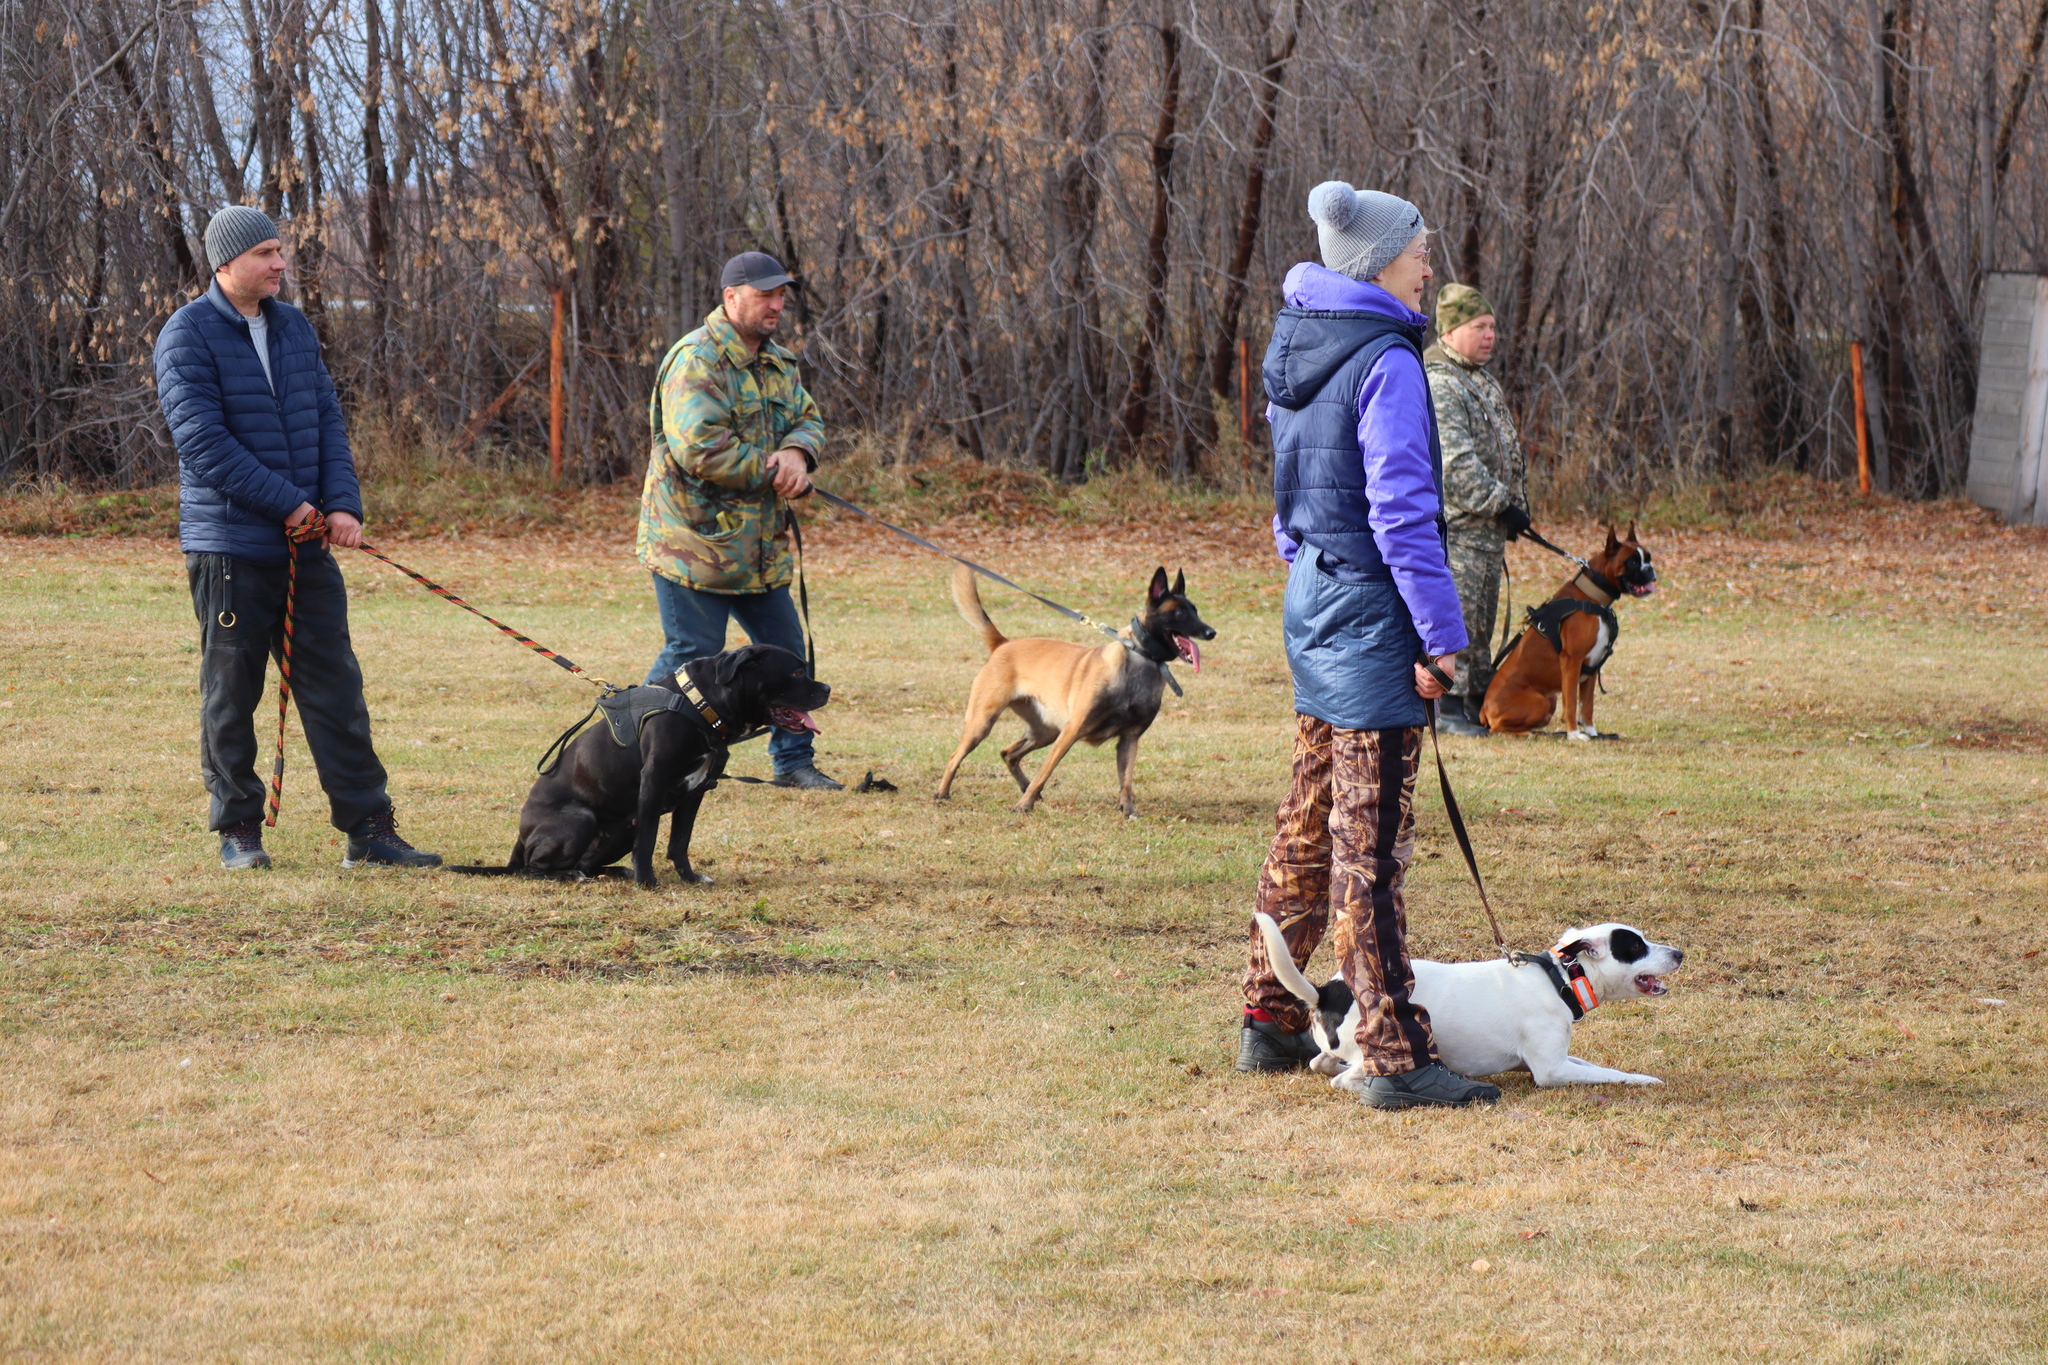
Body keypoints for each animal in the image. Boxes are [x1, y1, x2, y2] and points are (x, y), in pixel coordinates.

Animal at [507, 646, 827, 892]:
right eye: (797, 672)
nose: (827, 688)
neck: (699, 705)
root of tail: (520, 840)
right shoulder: (654, 782)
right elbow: (648, 841)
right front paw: (647, 882)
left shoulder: (696, 790)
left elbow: (679, 842)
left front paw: (691, 878)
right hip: (581, 817)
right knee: (531, 868)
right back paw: (569, 875)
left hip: (624, 827)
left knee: (587, 862)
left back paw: (613, 872)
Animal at [1253, 912, 1687, 1096]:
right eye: (1635, 947)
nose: (1681, 953)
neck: (1560, 981)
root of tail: (1329, 991)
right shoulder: (1551, 1071)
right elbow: (1609, 1074)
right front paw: (1644, 1080)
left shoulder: (1558, 1060)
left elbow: (1597, 1066)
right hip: (1376, 1051)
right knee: (1345, 1079)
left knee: (1321, 1064)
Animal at [1482, 527, 1654, 740]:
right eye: (1632, 562)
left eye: (1648, 558)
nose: (1649, 569)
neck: (1592, 598)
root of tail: (1483, 708)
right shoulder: (1572, 661)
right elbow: (1572, 703)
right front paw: (1574, 735)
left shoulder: (1592, 667)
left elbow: (1587, 706)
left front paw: (1592, 733)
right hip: (1540, 702)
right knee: (1495, 729)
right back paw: (1528, 733)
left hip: (1551, 700)